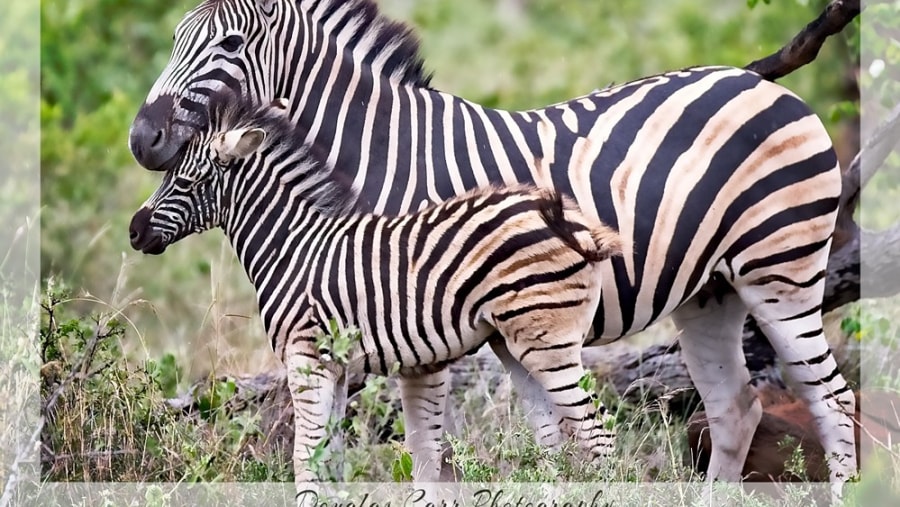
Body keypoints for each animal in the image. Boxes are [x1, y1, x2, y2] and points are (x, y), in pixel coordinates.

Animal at [130, 96, 624, 488]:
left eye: (186, 183)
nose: (134, 232)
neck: (293, 245)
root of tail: (564, 216)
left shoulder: (305, 357)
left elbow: (304, 458)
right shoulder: (335, 366)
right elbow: (328, 458)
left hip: (550, 341)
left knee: (599, 438)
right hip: (516, 343)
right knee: (555, 442)